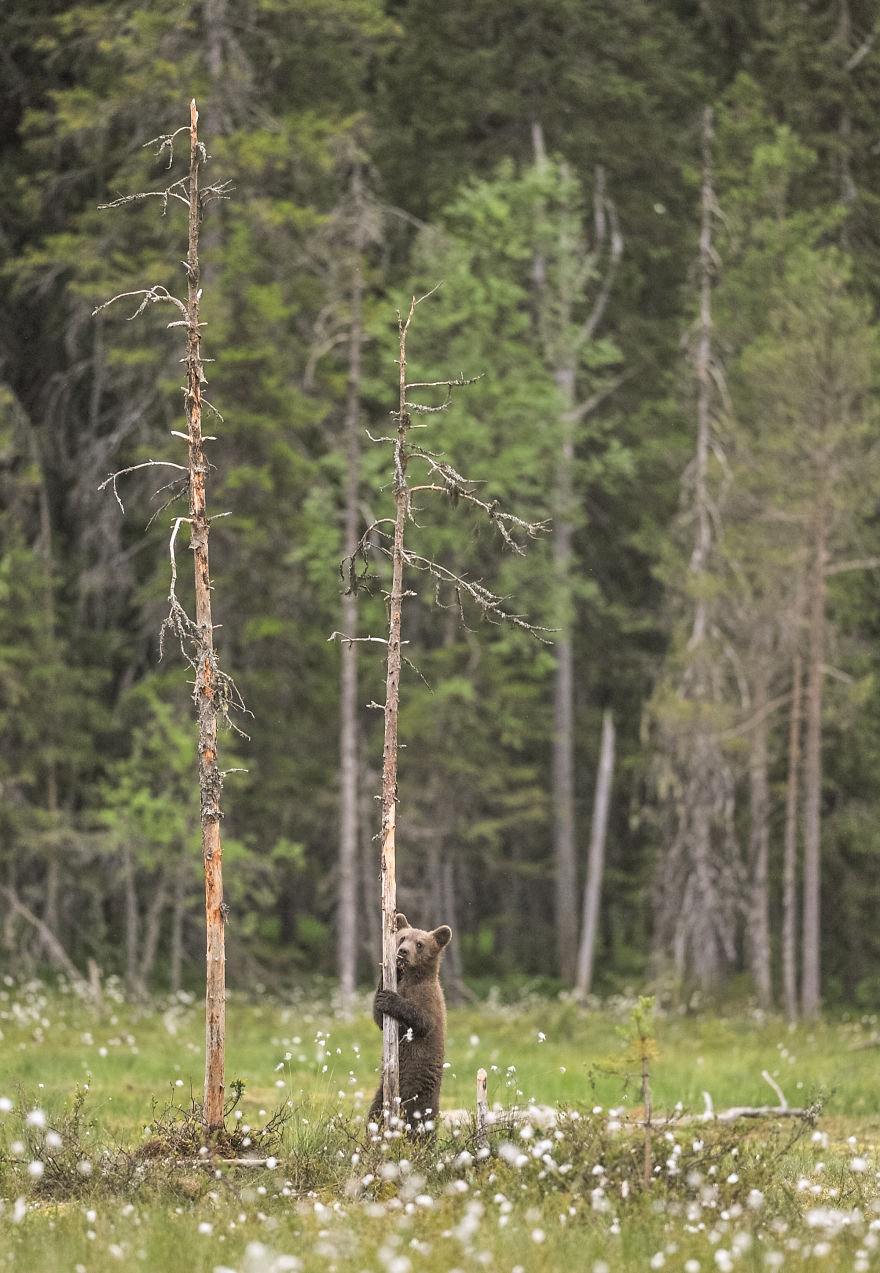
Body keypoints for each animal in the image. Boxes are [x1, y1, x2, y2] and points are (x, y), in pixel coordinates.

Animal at [368, 912, 452, 1132]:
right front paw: (388, 978)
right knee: (374, 1114)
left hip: (421, 1096)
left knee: (420, 1122)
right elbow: (379, 1019)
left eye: (420, 944)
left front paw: (391, 999)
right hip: (381, 1094)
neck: (413, 978)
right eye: (402, 938)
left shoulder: (430, 999)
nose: (403, 952)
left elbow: (423, 1021)